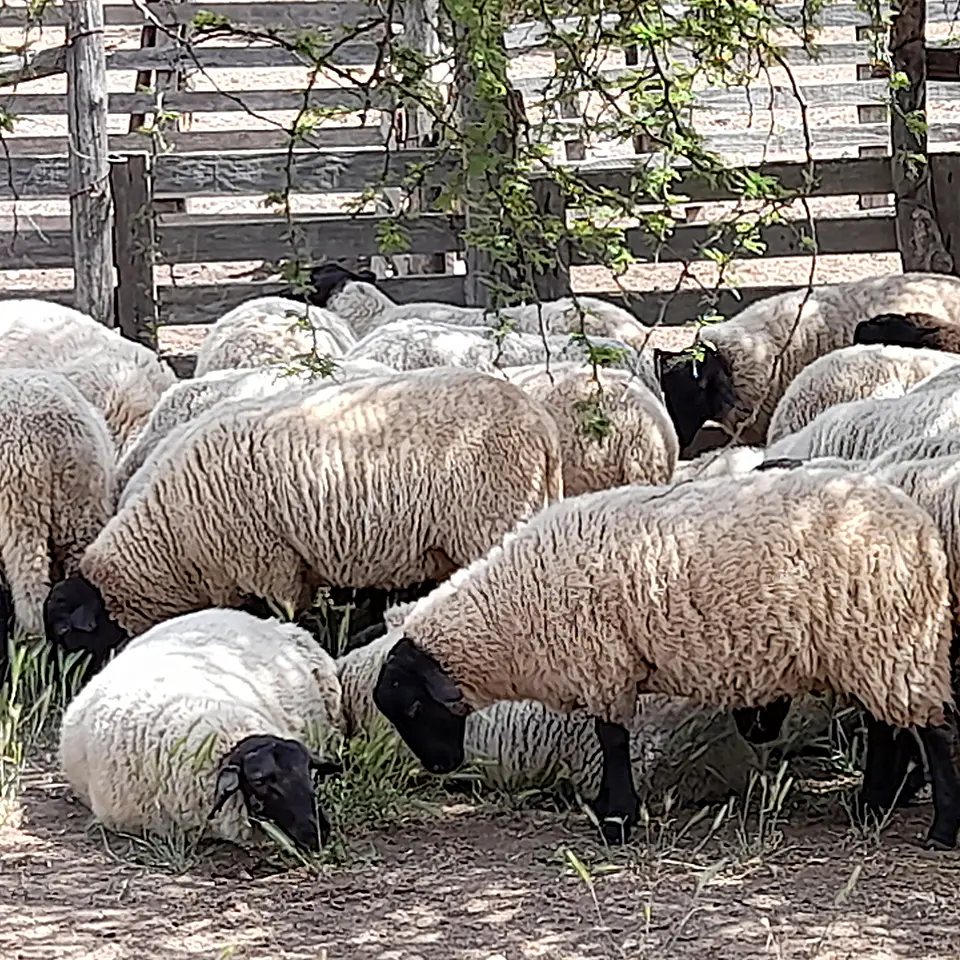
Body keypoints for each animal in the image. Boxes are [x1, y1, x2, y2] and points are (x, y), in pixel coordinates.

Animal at [372, 469, 960, 848]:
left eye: (415, 707)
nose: (439, 768)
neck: (511, 613)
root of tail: (919, 529)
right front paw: (614, 815)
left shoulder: (603, 663)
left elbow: (611, 740)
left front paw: (616, 821)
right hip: (870, 646)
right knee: (887, 724)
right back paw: (871, 803)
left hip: (891, 637)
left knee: (931, 729)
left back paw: (940, 830)